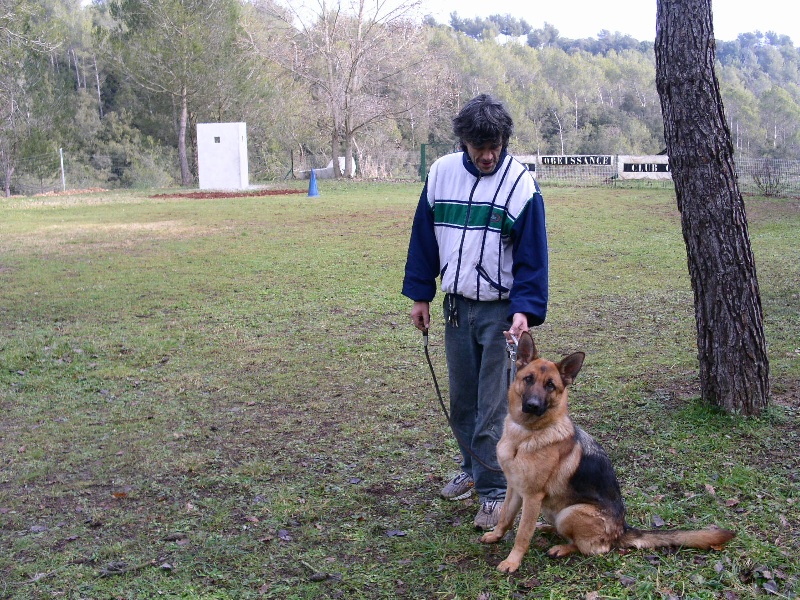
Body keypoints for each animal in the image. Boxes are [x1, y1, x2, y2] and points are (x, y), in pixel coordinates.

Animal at [478, 332, 736, 572]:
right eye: (528, 379)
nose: (532, 405)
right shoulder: (514, 487)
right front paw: (496, 535)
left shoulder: (532, 497)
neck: (526, 434)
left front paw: (513, 561)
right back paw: (548, 529)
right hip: (554, 510)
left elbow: (523, 533)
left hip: (570, 513)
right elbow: (506, 516)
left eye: (550, 385)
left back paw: (562, 548)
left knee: (595, 548)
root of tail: (622, 529)